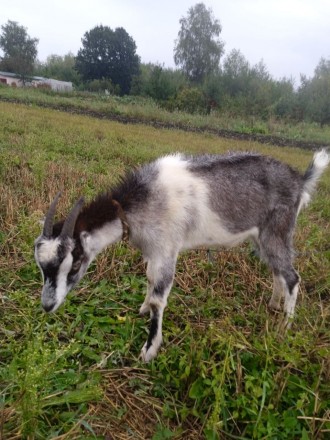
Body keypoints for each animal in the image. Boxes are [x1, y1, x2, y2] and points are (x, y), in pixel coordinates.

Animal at [34, 151, 328, 360]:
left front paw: (149, 350)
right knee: (278, 271)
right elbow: (149, 280)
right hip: (262, 237)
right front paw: (142, 309)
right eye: (42, 267)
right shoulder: (153, 252)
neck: (139, 204)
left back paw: (284, 329)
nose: (47, 306)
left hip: (277, 230)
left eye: (74, 266)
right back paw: (274, 305)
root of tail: (300, 180)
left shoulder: (166, 249)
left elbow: (158, 299)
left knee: (292, 277)